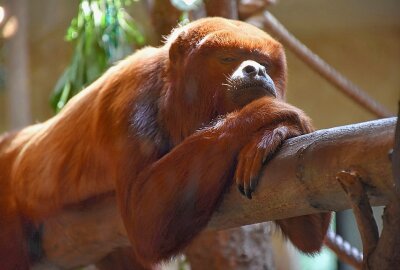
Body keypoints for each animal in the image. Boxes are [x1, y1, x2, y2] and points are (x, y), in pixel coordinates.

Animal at [0, 17, 332, 268]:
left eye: (264, 62)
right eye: (227, 58)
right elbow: (143, 219)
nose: (257, 69)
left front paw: (277, 132)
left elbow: (307, 224)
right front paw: (272, 114)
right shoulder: (129, 99)